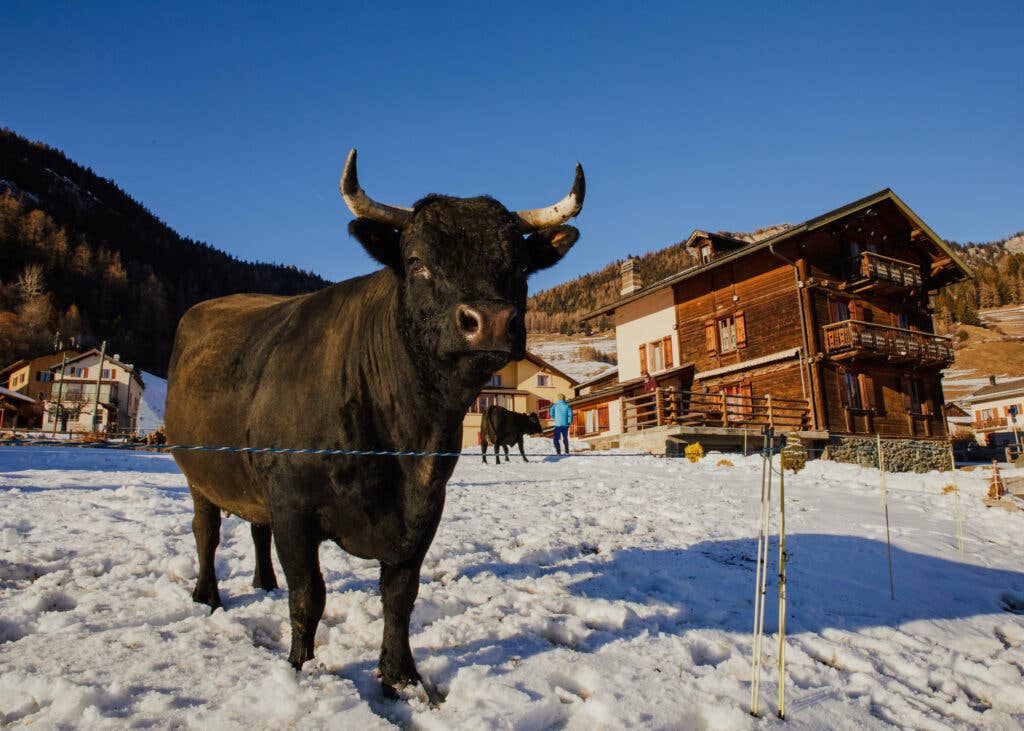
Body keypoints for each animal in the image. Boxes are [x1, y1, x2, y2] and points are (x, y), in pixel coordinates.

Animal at [166, 149, 585, 696]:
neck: (404, 439)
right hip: (197, 474)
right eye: (417, 261)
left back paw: (263, 581)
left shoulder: (425, 508)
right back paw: (208, 595)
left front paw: (401, 675)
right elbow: (309, 596)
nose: (492, 321)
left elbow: (400, 595)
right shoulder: (294, 507)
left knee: (256, 531)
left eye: (520, 265)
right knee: (206, 531)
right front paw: (299, 668)